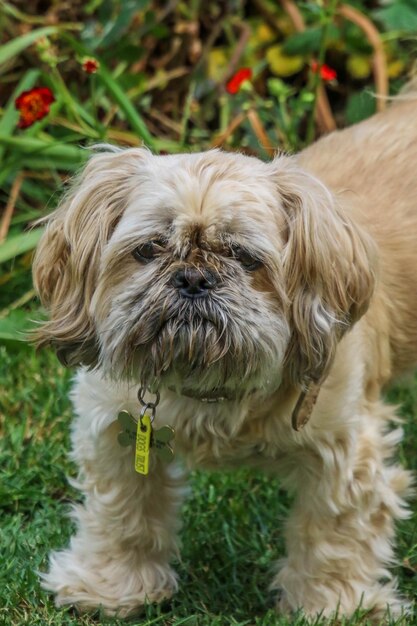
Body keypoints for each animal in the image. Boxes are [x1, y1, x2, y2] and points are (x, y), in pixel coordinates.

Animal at [31, 97, 416, 620]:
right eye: (149, 249)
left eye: (244, 257)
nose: (193, 278)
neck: (213, 385)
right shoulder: (113, 424)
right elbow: (122, 513)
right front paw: (110, 586)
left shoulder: (345, 452)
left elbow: (334, 534)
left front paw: (334, 606)